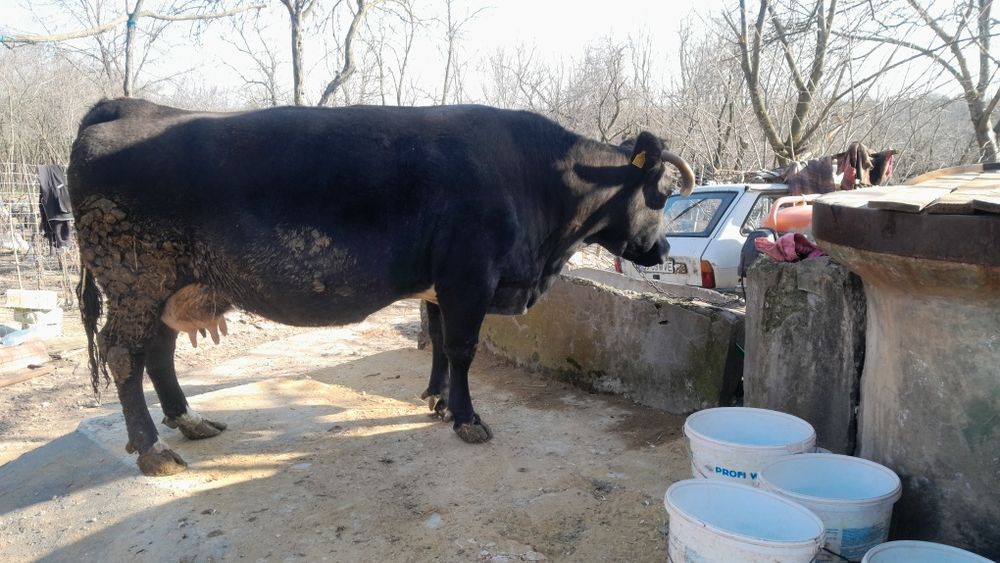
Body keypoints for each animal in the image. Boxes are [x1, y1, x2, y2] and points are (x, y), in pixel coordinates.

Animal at [69, 98, 695, 476]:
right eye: (662, 195)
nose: (663, 251)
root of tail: (130, 106)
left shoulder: (440, 284)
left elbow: (439, 342)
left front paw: (438, 400)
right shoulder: (470, 275)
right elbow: (462, 348)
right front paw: (467, 418)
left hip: (169, 287)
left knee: (158, 352)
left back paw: (188, 422)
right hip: (137, 280)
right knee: (123, 354)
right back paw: (153, 450)